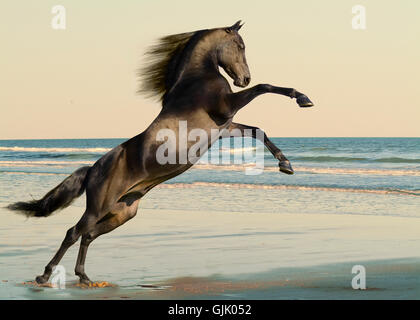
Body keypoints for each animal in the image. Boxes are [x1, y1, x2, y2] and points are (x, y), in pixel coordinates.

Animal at [8, 20, 314, 284]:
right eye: (240, 45)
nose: (244, 78)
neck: (195, 79)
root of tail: (93, 168)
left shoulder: (225, 126)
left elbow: (258, 130)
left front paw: (286, 165)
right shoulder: (226, 107)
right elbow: (265, 87)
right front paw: (303, 98)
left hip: (122, 212)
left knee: (88, 235)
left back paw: (84, 278)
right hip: (100, 206)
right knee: (73, 233)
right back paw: (45, 276)